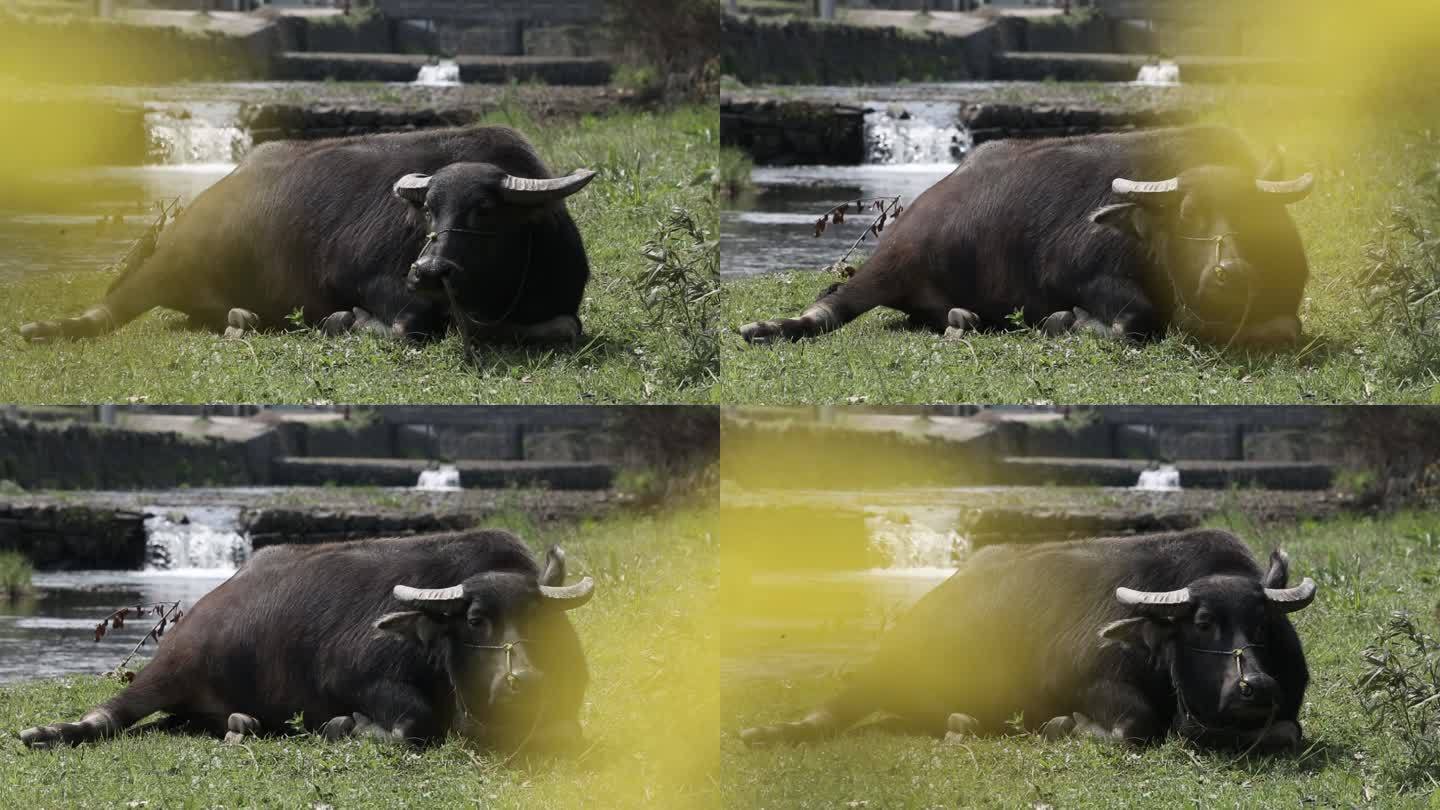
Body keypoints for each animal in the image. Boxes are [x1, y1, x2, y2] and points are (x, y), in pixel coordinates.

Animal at [18, 126, 590, 343]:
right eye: (428, 210)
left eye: (486, 210)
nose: (428, 271)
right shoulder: (372, 281)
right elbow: (404, 326)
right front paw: (344, 319)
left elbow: (566, 326)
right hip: (173, 260)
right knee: (111, 306)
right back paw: (45, 328)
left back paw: (242, 318)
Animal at [18, 527, 590, 749]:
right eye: (474, 619)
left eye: (540, 621)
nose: (524, 680)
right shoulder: (358, 676)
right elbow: (413, 725)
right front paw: (345, 725)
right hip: (171, 667)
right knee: (112, 713)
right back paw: (50, 732)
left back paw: (242, 724)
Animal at [743, 125, 1319, 343]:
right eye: (1189, 216)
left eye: (1251, 218)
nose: (1230, 271)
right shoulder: (1080, 272)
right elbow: (1136, 318)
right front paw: (1068, 321)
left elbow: (1286, 327)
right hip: (894, 261)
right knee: (832, 302)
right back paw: (769, 327)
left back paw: (963, 319)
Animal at [743, 527, 1319, 749]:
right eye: (1201, 622)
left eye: (1263, 624)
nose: (1255, 687)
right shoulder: (1087, 680)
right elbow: (1134, 727)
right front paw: (1065, 725)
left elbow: (1288, 731)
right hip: (884, 667)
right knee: (835, 709)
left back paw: (962, 723)